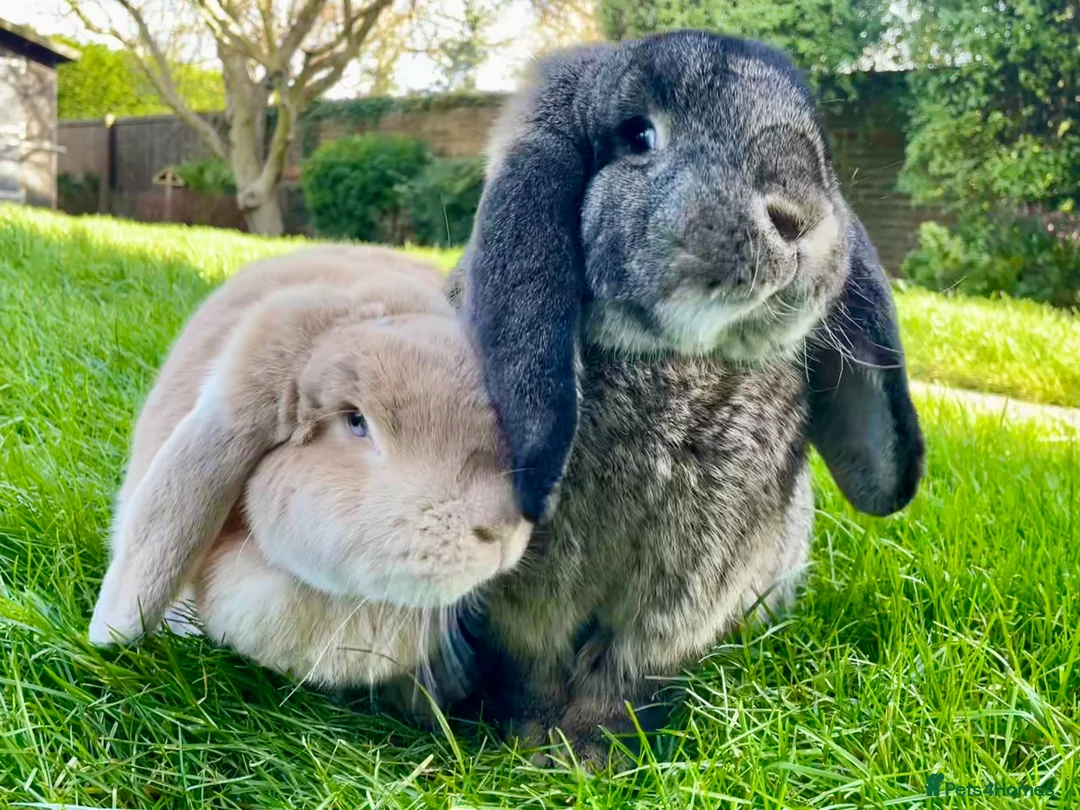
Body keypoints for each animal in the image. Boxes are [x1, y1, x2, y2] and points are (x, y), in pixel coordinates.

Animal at [446, 31, 925, 767]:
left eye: (819, 149)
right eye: (639, 135)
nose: (798, 217)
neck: (679, 360)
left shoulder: (684, 595)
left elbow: (624, 672)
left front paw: (593, 752)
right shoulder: (529, 603)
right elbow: (535, 668)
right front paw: (535, 744)